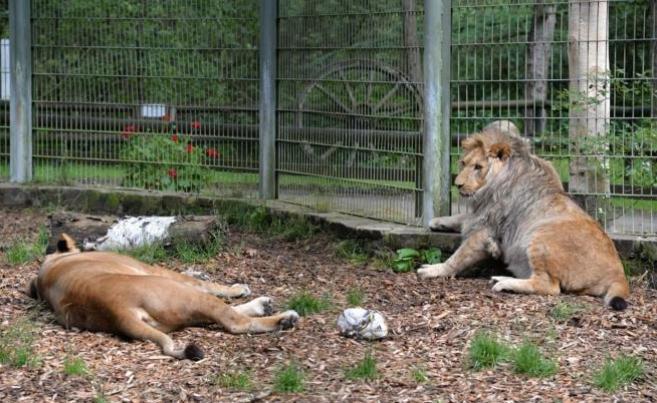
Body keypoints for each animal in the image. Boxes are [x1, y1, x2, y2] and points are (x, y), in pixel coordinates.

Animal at [28, 234, 300, 360]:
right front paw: (237, 288)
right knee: (234, 321)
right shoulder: (153, 269)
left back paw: (265, 307)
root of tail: (116, 311)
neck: (53, 264)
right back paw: (283, 318)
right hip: (177, 291)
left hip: (175, 314)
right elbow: (203, 282)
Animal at [418, 121, 628, 310]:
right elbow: (461, 217)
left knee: (548, 286)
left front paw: (434, 269)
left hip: (540, 235)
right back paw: (501, 277)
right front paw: (437, 221)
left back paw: (504, 283)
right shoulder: (481, 213)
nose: (458, 184)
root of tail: (619, 274)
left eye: (478, 167)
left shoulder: (485, 229)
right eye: (463, 163)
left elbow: (458, 257)